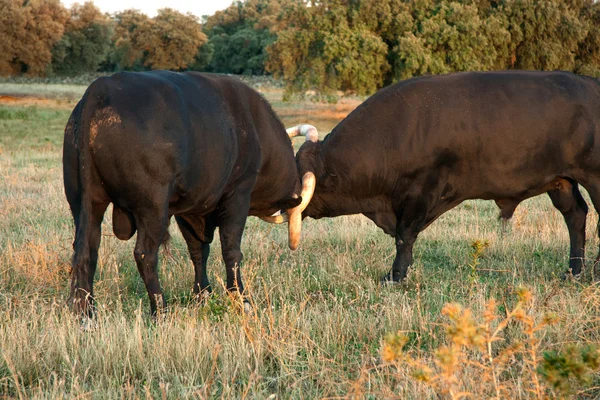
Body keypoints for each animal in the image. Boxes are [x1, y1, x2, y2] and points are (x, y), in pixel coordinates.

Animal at [63, 70, 316, 318]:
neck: (255, 126)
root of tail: (101, 88)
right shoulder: (238, 194)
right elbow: (231, 251)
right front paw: (241, 299)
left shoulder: (190, 209)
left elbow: (198, 251)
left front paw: (202, 295)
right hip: (152, 206)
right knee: (145, 254)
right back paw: (160, 310)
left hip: (86, 202)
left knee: (86, 251)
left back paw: (86, 314)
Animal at [296, 70, 600, 282]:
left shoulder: (421, 190)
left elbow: (404, 236)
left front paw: (395, 277)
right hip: (560, 181)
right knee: (575, 215)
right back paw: (573, 272)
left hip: (594, 177)